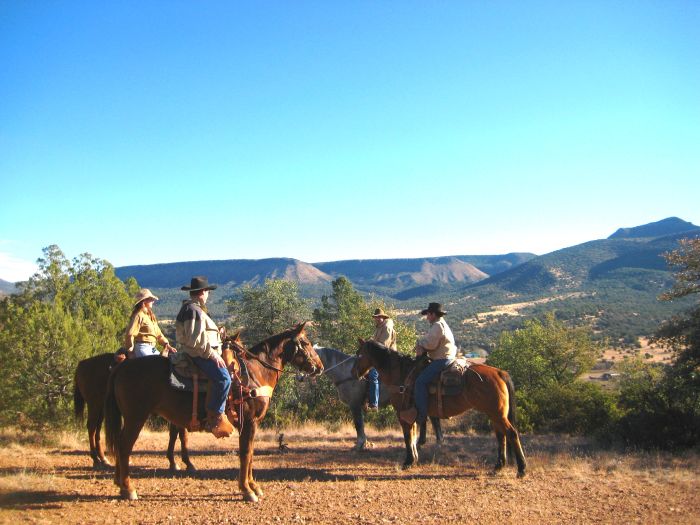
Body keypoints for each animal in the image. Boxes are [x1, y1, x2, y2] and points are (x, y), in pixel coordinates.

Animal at [104, 322, 322, 502]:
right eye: (306, 342)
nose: (319, 367)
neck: (254, 373)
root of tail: (122, 366)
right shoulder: (249, 422)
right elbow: (246, 453)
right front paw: (247, 490)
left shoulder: (251, 424)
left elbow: (250, 453)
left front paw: (254, 487)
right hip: (135, 417)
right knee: (124, 446)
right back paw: (128, 488)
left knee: (120, 443)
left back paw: (120, 483)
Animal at [308, 346, 440, 448]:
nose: (302, 377)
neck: (346, 373)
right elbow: (361, 424)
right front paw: (364, 443)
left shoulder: (354, 404)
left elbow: (358, 424)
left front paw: (360, 444)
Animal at [350, 338, 524, 476]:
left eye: (359, 354)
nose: (353, 373)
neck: (401, 374)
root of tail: (500, 373)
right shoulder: (411, 413)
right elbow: (413, 435)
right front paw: (414, 459)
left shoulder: (402, 413)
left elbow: (408, 436)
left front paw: (408, 462)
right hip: (494, 414)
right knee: (501, 436)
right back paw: (498, 466)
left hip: (497, 414)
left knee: (511, 433)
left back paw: (521, 469)